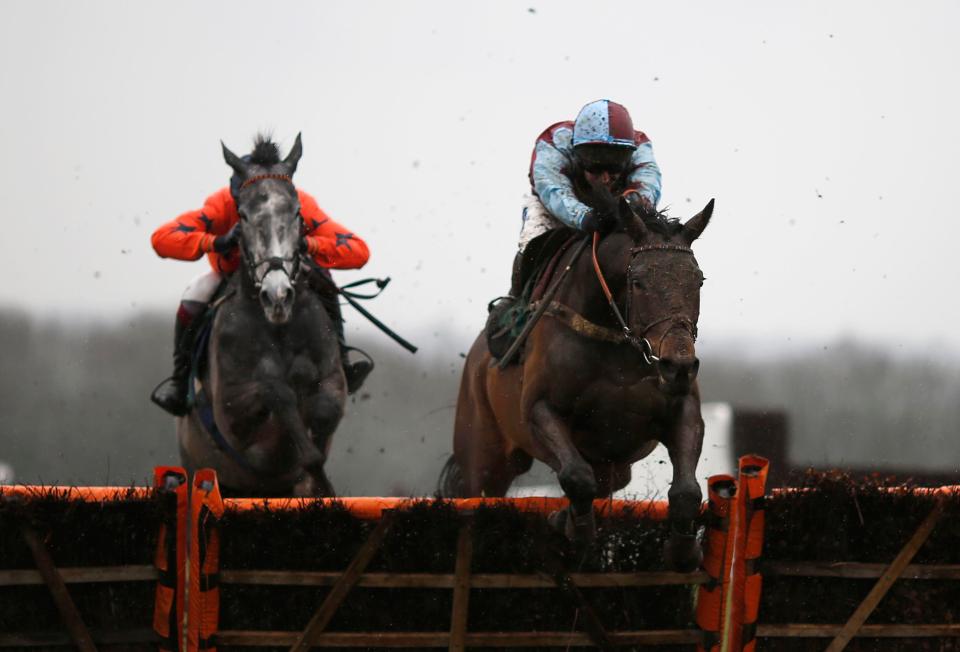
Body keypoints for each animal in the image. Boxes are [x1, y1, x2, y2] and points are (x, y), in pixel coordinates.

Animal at [178, 135, 346, 496]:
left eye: (296, 211)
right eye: (242, 214)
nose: (277, 295)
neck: (279, 329)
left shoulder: (332, 381)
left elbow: (323, 409)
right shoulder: (232, 414)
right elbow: (274, 390)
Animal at [442, 196, 712, 568]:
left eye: (697, 280)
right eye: (638, 281)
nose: (678, 366)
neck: (614, 339)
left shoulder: (681, 409)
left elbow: (686, 489)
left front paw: (683, 551)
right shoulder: (540, 411)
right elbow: (576, 477)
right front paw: (574, 531)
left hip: (615, 468)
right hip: (483, 456)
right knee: (476, 501)